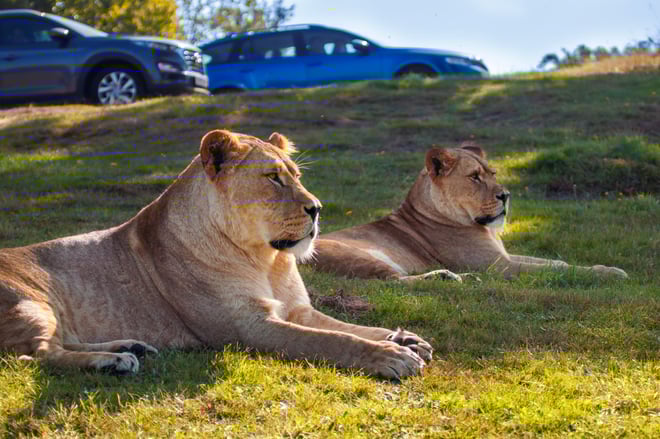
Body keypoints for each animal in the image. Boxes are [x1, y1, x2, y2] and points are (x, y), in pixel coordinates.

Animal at [0, 130, 431, 380]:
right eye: (273, 178)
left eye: (296, 175)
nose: (317, 208)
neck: (265, 260)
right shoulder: (247, 327)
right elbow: (329, 341)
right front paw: (390, 357)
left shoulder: (297, 310)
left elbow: (347, 327)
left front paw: (404, 338)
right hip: (32, 304)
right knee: (38, 355)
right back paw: (114, 362)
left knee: (58, 345)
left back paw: (129, 348)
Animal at [310, 144, 628, 281]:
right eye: (474, 177)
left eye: (493, 173)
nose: (506, 195)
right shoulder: (498, 266)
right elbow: (558, 269)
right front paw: (612, 273)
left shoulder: (504, 257)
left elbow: (557, 262)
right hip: (357, 255)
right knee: (396, 281)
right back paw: (448, 278)